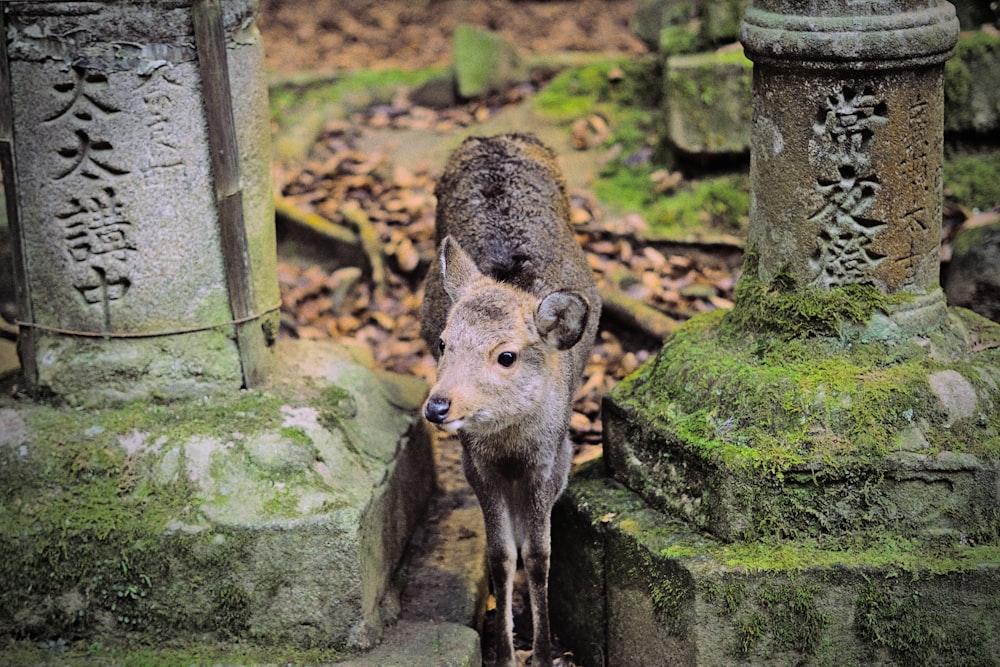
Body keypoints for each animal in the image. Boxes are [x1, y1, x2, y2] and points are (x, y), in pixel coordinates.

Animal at [418, 133, 596, 664]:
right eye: (443, 343)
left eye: (507, 356)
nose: (438, 406)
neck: (512, 446)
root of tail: (493, 137)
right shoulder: (476, 462)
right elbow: (501, 553)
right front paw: (502, 650)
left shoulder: (553, 458)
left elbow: (538, 554)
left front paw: (542, 651)